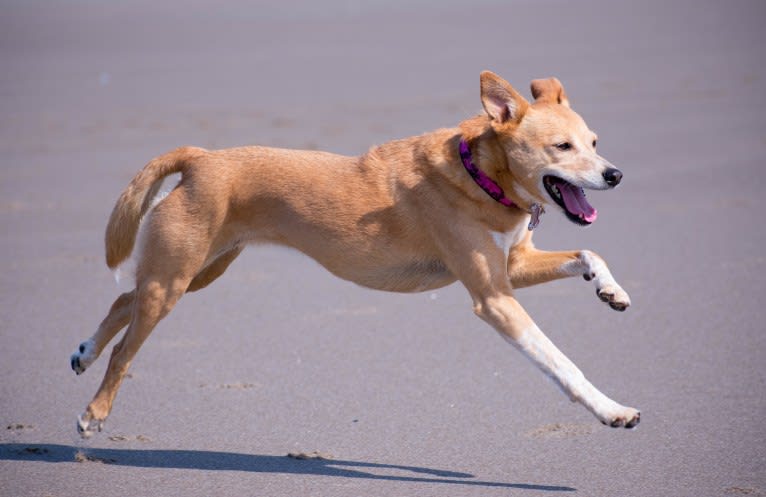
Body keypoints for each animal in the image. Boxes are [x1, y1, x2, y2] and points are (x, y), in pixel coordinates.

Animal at [72, 70, 640, 438]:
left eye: (594, 141)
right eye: (562, 147)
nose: (615, 174)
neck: (479, 174)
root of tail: (200, 158)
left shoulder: (512, 268)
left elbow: (588, 251)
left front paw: (611, 289)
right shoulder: (494, 298)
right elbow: (562, 363)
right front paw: (611, 410)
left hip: (199, 271)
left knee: (123, 300)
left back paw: (84, 351)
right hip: (175, 280)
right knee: (126, 349)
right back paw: (94, 411)